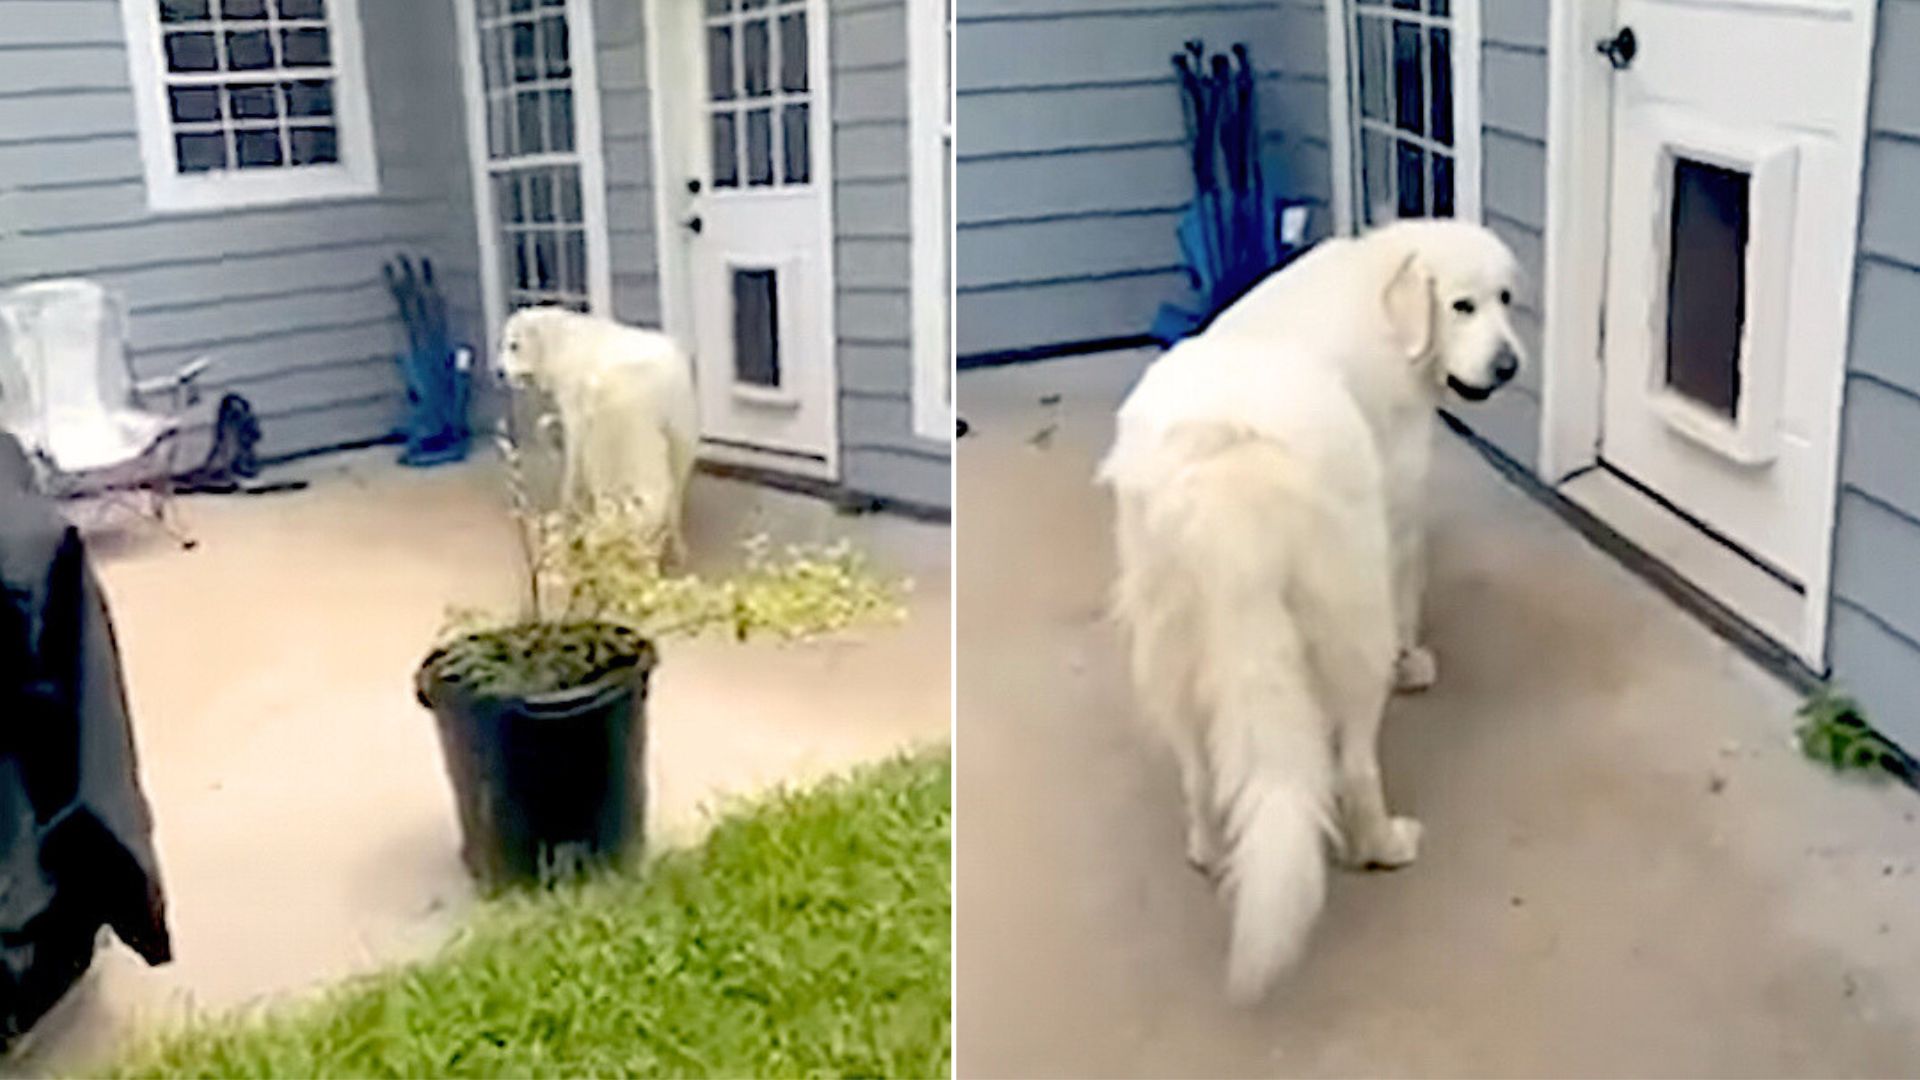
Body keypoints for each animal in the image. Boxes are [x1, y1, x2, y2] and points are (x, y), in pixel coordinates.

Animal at [499, 299, 702, 553]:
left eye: (513, 346)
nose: (498, 372)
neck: (559, 344)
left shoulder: (575, 420)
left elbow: (573, 470)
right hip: (681, 438)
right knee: (674, 494)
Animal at [1105, 219, 1520, 999]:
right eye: (1462, 307)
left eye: (1506, 299)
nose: (1510, 366)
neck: (1385, 295)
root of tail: (1226, 458)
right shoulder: (1397, 503)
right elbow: (1408, 587)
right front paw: (1412, 661)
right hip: (1343, 616)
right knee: (1353, 764)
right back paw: (1384, 844)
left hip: (1168, 630)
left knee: (1198, 767)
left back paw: (1210, 848)